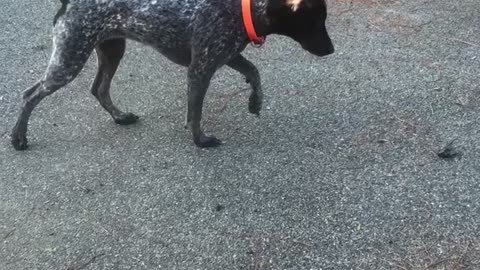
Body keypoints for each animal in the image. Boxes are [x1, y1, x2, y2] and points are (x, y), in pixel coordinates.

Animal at [10, 0, 334, 150]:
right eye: (316, 20)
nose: (331, 50)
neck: (240, 8)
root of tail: (67, 3)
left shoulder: (226, 55)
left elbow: (255, 73)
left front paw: (256, 101)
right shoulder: (200, 68)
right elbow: (196, 112)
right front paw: (200, 140)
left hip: (112, 50)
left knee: (99, 88)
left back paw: (119, 116)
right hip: (70, 60)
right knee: (29, 95)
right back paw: (18, 137)